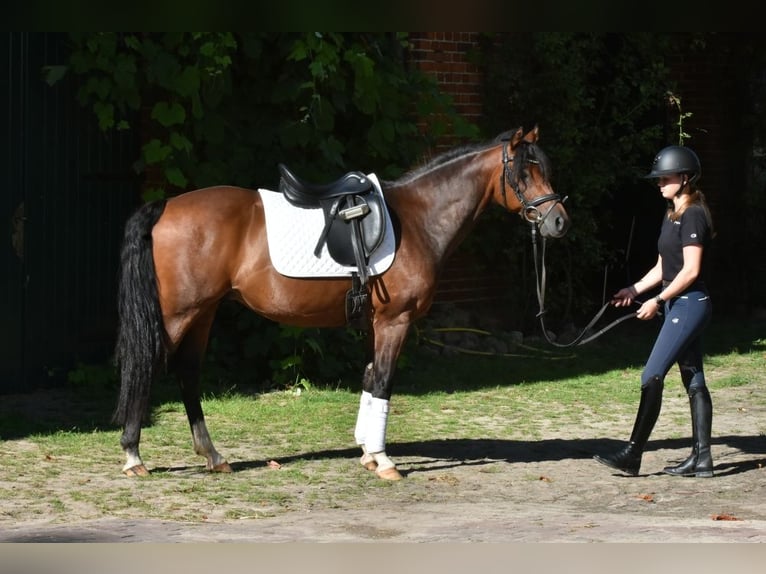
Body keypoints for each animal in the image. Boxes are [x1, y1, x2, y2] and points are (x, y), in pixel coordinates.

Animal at [112, 126, 568, 482]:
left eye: (546, 169)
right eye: (524, 172)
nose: (558, 221)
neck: (418, 219)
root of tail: (166, 206)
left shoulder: (374, 324)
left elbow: (368, 379)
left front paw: (367, 452)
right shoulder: (395, 321)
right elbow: (383, 382)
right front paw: (384, 460)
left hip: (203, 313)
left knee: (188, 375)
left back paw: (213, 456)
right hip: (179, 314)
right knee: (148, 368)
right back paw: (134, 456)